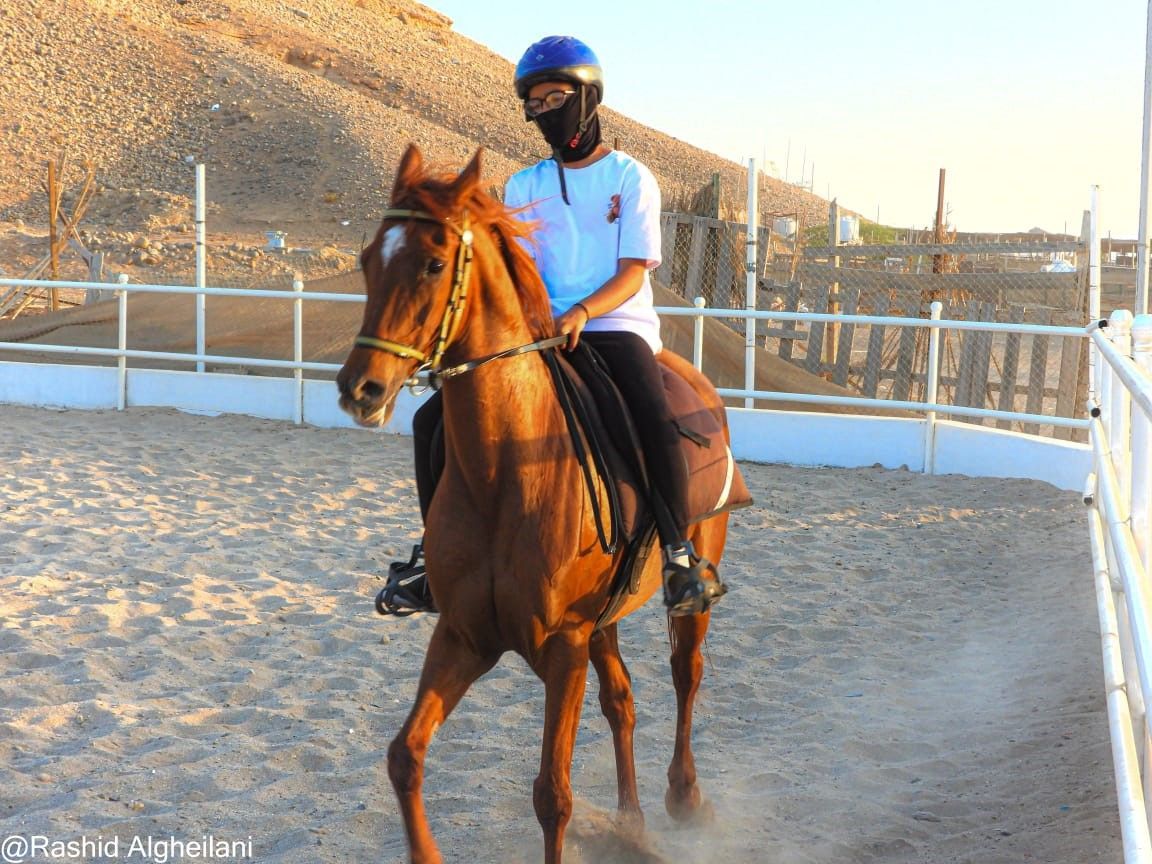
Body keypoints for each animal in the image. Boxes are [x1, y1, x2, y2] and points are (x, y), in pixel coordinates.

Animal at [336, 143, 734, 864]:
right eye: (368, 259)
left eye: (433, 262)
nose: (361, 388)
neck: (506, 474)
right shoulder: (463, 634)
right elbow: (404, 756)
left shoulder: (562, 647)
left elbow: (554, 795)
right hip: (604, 619)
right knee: (623, 701)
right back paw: (630, 821)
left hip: (687, 590)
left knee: (685, 674)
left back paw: (683, 797)